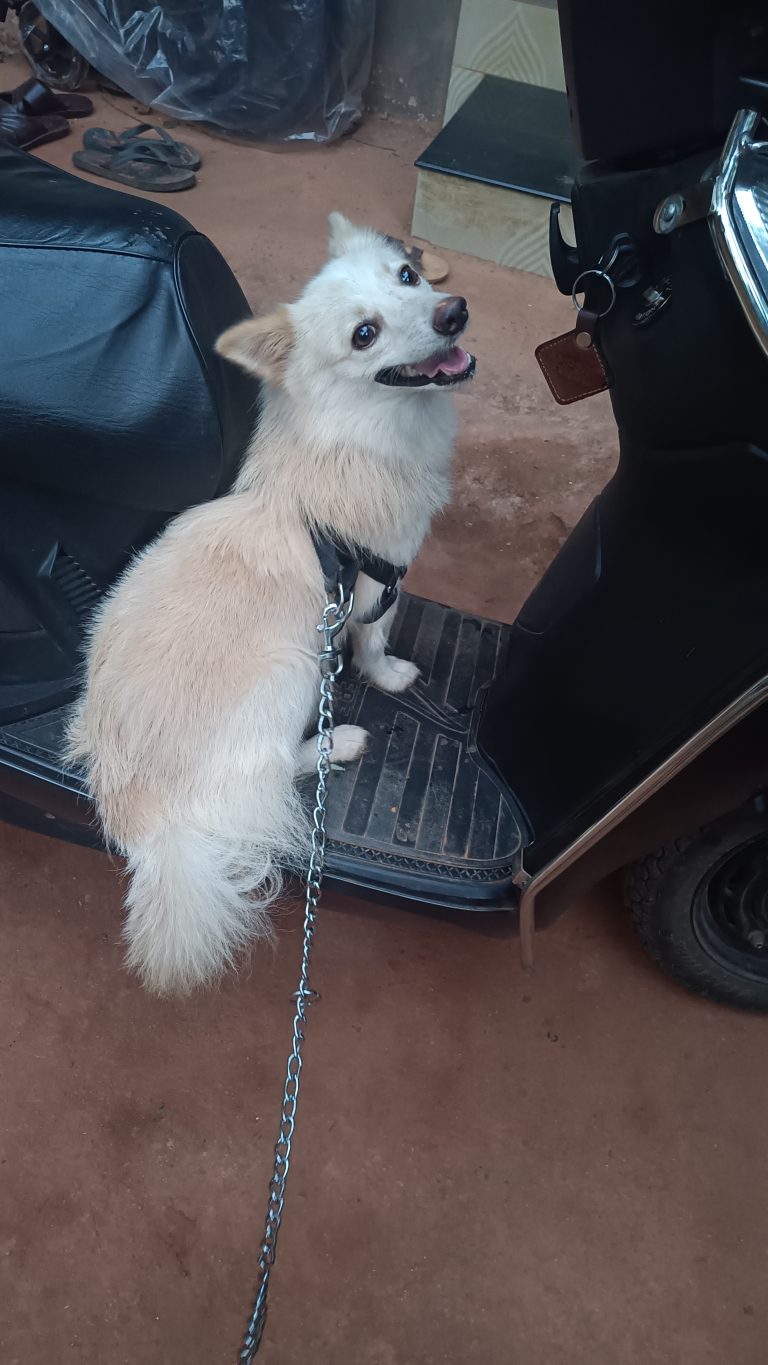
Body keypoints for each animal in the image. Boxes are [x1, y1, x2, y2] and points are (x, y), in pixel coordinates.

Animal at [67, 218, 474, 999]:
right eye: (365, 335)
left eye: (408, 276)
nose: (454, 312)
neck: (351, 432)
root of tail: (145, 824)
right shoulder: (375, 587)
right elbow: (375, 644)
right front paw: (391, 678)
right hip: (293, 665)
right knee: (266, 779)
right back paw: (339, 743)